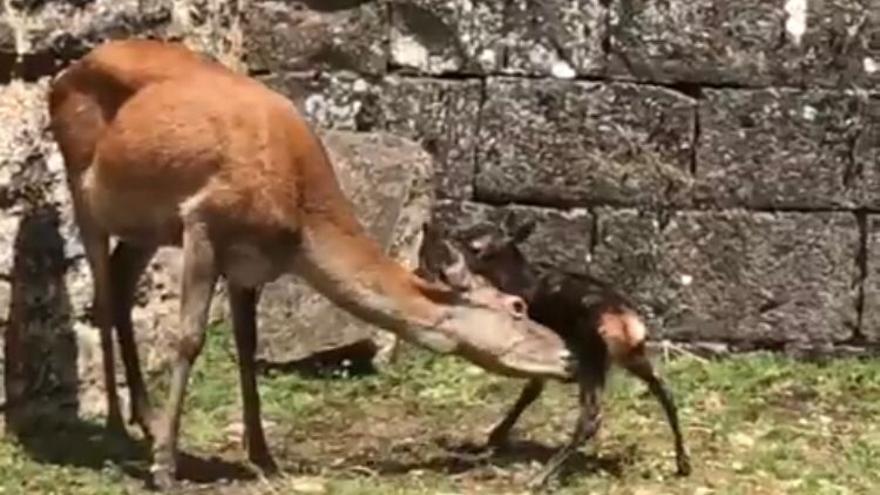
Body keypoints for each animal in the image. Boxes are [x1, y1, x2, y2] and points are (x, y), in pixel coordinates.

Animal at [46, 39, 576, 492]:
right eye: (516, 306)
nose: (568, 356)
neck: (298, 218)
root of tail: (62, 75)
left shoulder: (250, 264)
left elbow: (246, 346)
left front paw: (265, 459)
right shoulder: (203, 222)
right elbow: (190, 338)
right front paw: (165, 468)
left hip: (148, 225)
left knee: (119, 282)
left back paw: (146, 419)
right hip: (81, 182)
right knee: (100, 287)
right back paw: (117, 425)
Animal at [416, 215, 692, 490]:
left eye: (475, 246)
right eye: (465, 232)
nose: (443, 272)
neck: (520, 284)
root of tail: (625, 325)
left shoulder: (538, 341)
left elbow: (530, 391)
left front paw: (495, 437)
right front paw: (495, 436)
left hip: (592, 355)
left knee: (590, 416)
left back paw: (539, 477)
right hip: (632, 354)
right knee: (664, 390)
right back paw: (683, 462)